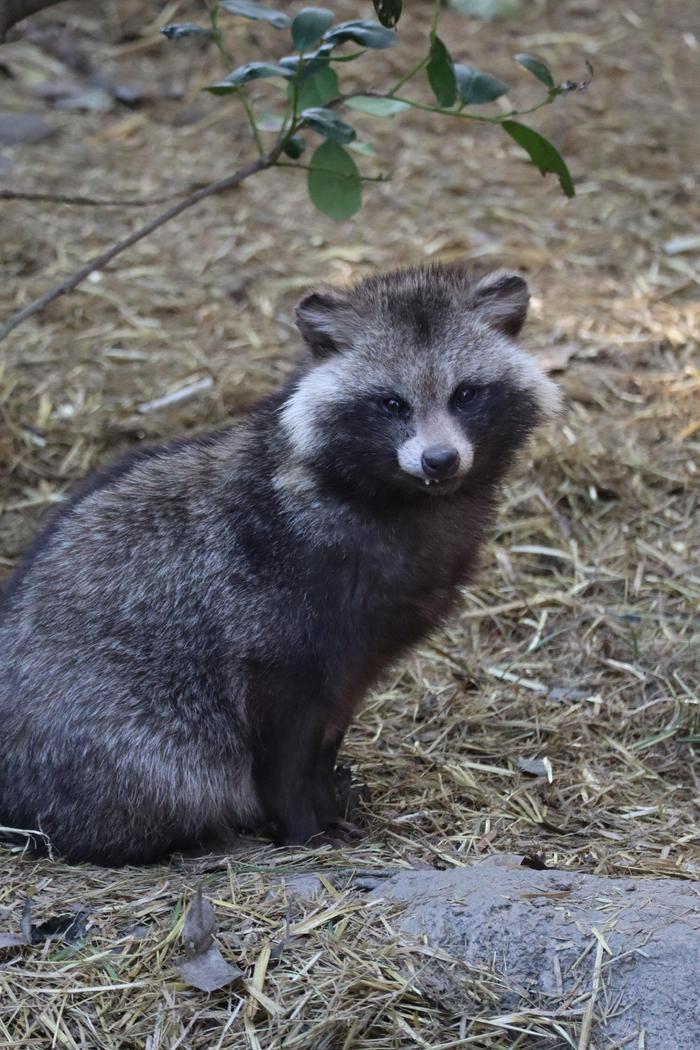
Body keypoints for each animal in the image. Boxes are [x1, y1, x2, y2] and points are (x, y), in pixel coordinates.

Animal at [0, 266, 562, 865]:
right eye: (392, 404)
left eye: (466, 394)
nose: (440, 460)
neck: (406, 502)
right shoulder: (270, 629)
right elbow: (285, 751)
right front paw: (300, 824)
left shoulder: (362, 649)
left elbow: (328, 729)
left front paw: (326, 801)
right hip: (122, 733)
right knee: (174, 774)